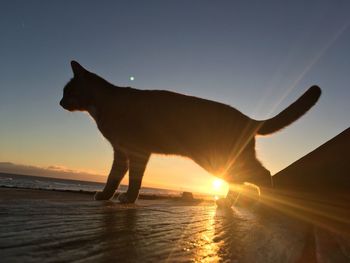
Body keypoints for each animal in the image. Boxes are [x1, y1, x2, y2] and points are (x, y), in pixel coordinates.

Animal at [59, 60, 320, 203]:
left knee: (262, 175)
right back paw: (227, 203)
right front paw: (105, 195)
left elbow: (134, 180)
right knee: (241, 181)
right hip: (224, 161)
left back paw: (264, 203)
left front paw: (129, 199)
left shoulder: (138, 152)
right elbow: (112, 177)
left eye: (67, 90)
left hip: (218, 159)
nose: (59, 102)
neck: (104, 105)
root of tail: (247, 117)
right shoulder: (121, 152)